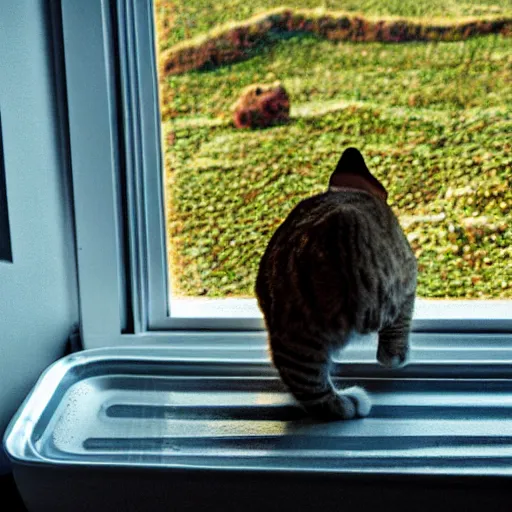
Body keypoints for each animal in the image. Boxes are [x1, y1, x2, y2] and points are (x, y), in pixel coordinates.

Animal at [254, 147, 418, 420]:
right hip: (388, 293)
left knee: (304, 380)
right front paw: (397, 355)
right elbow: (400, 325)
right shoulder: (408, 279)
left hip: (291, 331)